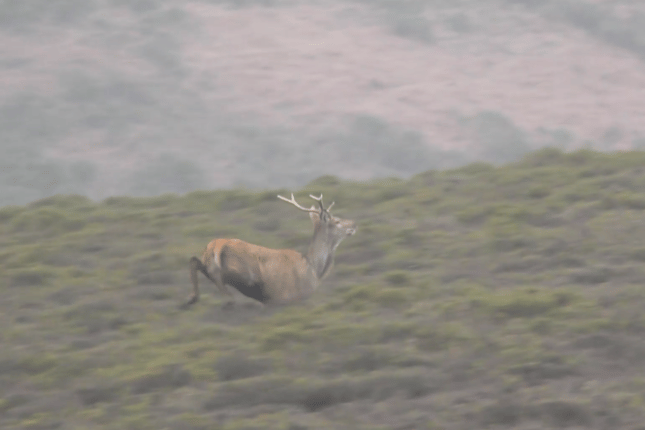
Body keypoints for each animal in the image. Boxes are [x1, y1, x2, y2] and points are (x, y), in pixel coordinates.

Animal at [182, 193, 357, 309]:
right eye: (337, 221)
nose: (354, 224)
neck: (314, 268)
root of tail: (215, 245)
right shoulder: (294, 297)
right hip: (243, 272)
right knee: (218, 275)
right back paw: (227, 299)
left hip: (211, 262)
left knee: (195, 261)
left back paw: (192, 298)